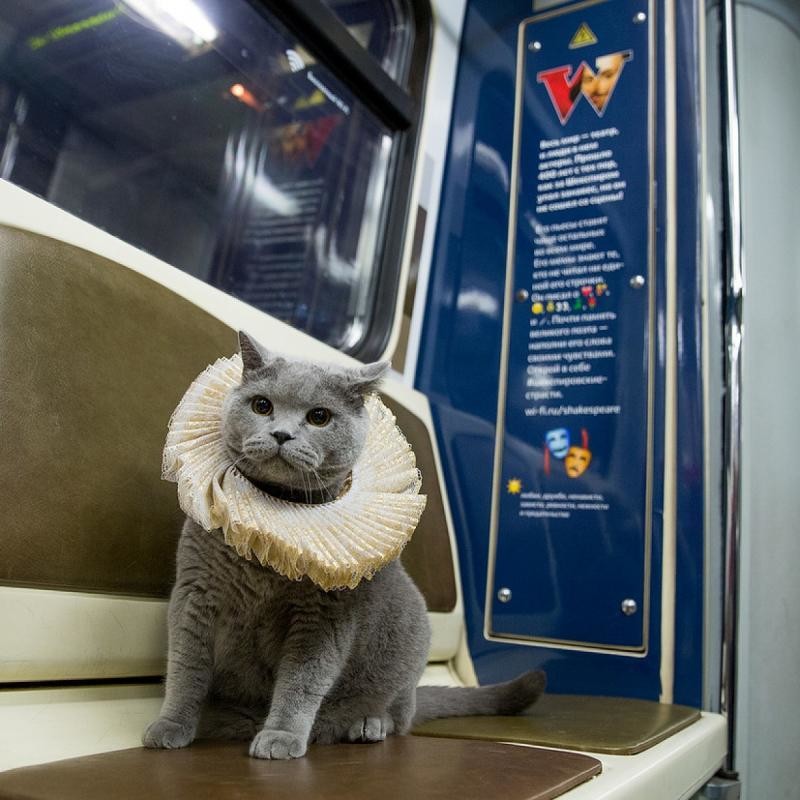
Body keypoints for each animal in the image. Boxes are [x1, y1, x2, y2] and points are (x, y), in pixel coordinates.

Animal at [144, 334, 544, 760]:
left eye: (319, 417)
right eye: (262, 405)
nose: (282, 434)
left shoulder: (323, 616)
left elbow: (302, 680)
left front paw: (281, 737)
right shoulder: (195, 594)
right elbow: (185, 667)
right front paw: (170, 726)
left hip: (410, 643)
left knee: (399, 715)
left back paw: (367, 725)